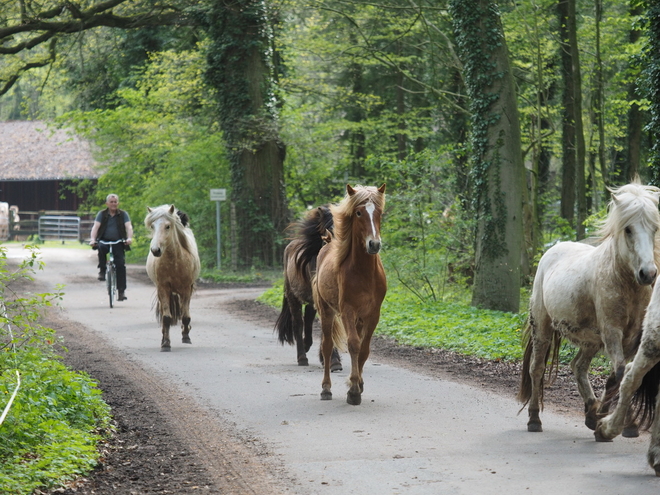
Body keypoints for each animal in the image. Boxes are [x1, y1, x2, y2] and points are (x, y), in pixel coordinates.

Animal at [146, 205, 201, 352]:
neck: (174, 262)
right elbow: (166, 318)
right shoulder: (163, 289)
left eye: (167, 226)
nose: (155, 250)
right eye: (152, 226)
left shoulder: (186, 289)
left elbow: (185, 316)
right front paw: (165, 343)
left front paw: (186, 336)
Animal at [276, 205, 342, 372]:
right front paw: (333, 360)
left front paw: (331, 360)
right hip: (293, 297)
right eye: (328, 231)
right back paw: (302, 357)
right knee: (298, 324)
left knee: (308, 319)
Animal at [314, 184, 386, 404]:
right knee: (327, 346)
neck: (363, 273)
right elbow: (353, 344)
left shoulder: (373, 314)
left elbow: (364, 349)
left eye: (380, 213)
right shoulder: (347, 310)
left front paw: (359, 385)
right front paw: (353, 390)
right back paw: (326, 389)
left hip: (359, 319)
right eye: (359, 213)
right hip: (327, 311)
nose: (374, 244)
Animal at [520, 181, 660, 434]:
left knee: (578, 366)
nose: (648, 273)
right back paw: (534, 419)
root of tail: (553, 249)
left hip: (590, 341)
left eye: (654, 228)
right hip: (542, 327)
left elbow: (625, 375)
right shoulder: (612, 332)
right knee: (537, 368)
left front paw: (618, 421)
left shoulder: (634, 337)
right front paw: (610, 420)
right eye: (628, 229)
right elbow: (620, 374)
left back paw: (591, 410)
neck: (625, 283)